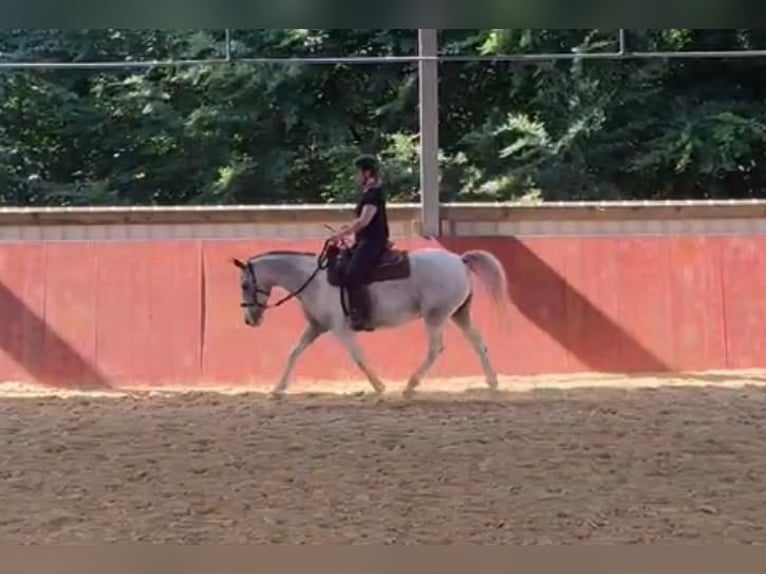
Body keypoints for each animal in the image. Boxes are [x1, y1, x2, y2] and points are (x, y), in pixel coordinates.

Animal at [234, 242, 510, 400]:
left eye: (245, 285)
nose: (249, 320)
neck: (313, 280)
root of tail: (459, 260)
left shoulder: (340, 329)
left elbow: (358, 357)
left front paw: (379, 386)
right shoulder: (316, 327)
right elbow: (294, 352)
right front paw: (277, 389)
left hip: (436, 316)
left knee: (435, 349)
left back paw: (410, 385)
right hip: (458, 314)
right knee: (478, 342)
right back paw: (492, 382)